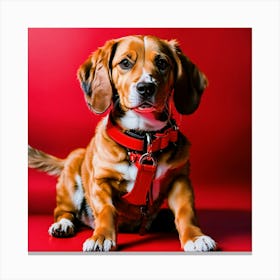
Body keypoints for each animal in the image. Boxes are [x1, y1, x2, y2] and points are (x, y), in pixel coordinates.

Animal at [27, 34, 217, 252]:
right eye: (125, 63)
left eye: (162, 63)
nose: (146, 88)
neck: (145, 138)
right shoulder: (101, 182)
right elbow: (106, 209)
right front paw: (101, 237)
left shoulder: (180, 180)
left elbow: (186, 212)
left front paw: (195, 237)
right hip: (72, 175)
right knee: (63, 211)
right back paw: (63, 224)